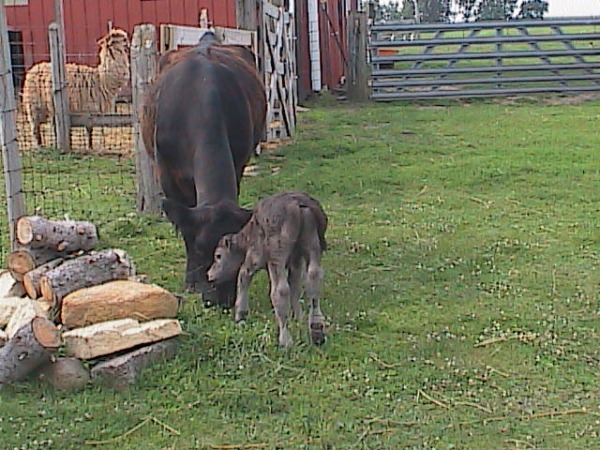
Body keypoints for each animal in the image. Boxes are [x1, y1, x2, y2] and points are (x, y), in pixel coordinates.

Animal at [142, 34, 266, 306]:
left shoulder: (238, 162)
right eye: (201, 248)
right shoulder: (167, 174)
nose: (219, 299)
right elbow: (185, 226)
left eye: (238, 251)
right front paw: (191, 281)